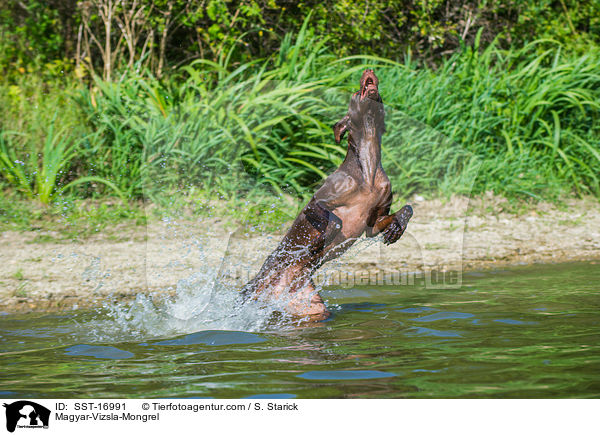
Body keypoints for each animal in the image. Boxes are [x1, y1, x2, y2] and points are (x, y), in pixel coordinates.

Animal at [239, 69, 412, 320]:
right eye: (355, 93)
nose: (368, 71)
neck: (368, 168)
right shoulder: (316, 202)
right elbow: (335, 221)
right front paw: (321, 241)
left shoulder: (374, 221)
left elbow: (406, 208)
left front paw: (397, 228)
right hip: (254, 288)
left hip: (310, 305)